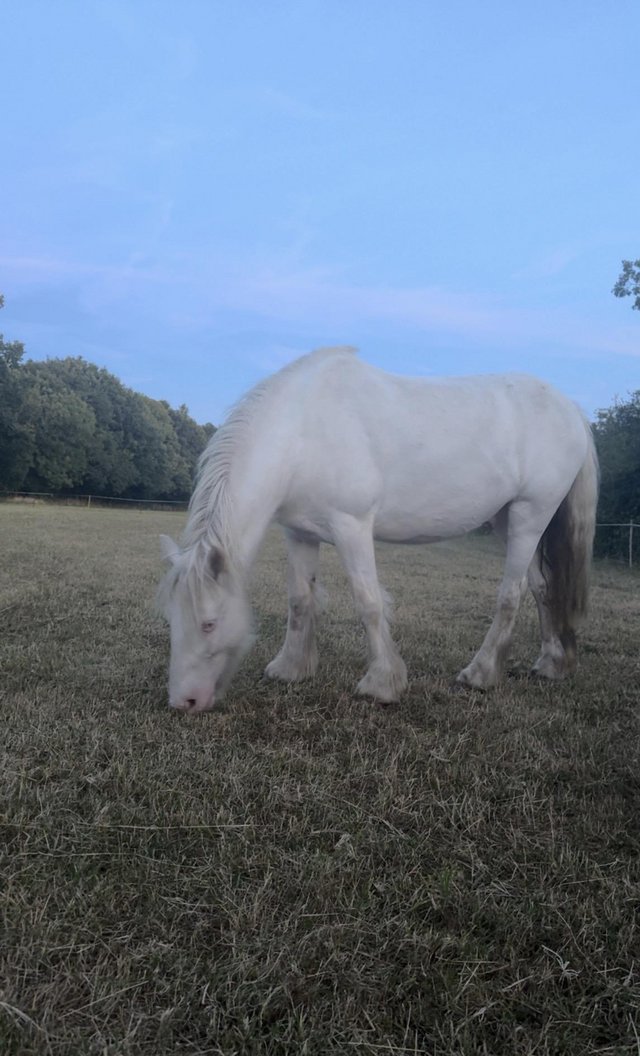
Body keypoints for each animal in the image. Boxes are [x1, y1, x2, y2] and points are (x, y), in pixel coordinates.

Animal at [158, 346, 599, 713]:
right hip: (509, 521)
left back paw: (480, 674)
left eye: (209, 623)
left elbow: (368, 602)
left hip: (530, 515)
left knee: (512, 594)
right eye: (171, 619)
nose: (184, 701)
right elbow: (300, 599)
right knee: (542, 587)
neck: (303, 432)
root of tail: (571, 409)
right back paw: (552, 663)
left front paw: (382, 683)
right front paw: (291, 668)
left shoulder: (351, 525)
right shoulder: (300, 533)